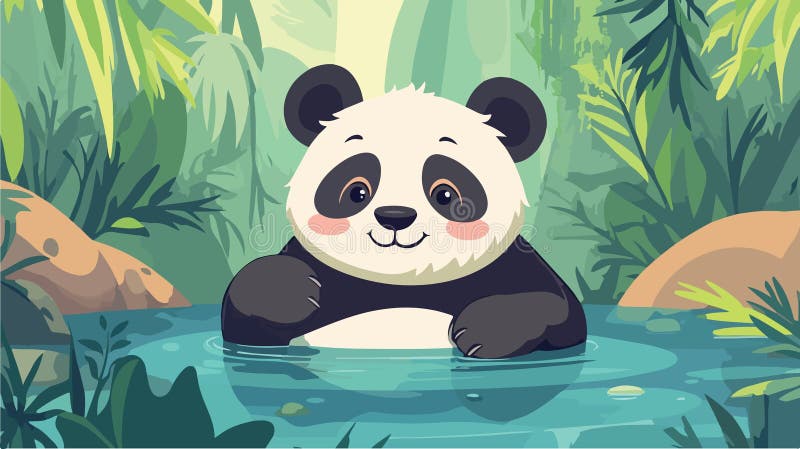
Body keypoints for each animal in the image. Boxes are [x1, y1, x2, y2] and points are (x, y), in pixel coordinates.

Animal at [221, 64, 587, 359]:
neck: (402, 279)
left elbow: (563, 310)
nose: (394, 216)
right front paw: (290, 290)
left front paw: (486, 329)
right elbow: (240, 320)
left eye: (445, 193)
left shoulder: (509, 262)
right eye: (356, 190)